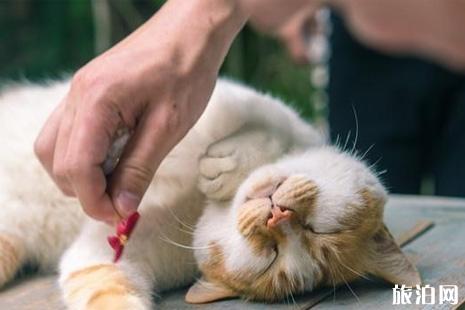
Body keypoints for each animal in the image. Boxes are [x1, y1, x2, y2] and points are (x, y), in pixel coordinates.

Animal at [0, 77, 416, 308]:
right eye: (319, 228)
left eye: (273, 255)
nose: (278, 217)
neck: (197, 201)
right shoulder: (242, 103)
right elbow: (271, 134)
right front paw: (227, 164)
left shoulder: (103, 255)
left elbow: (106, 286)